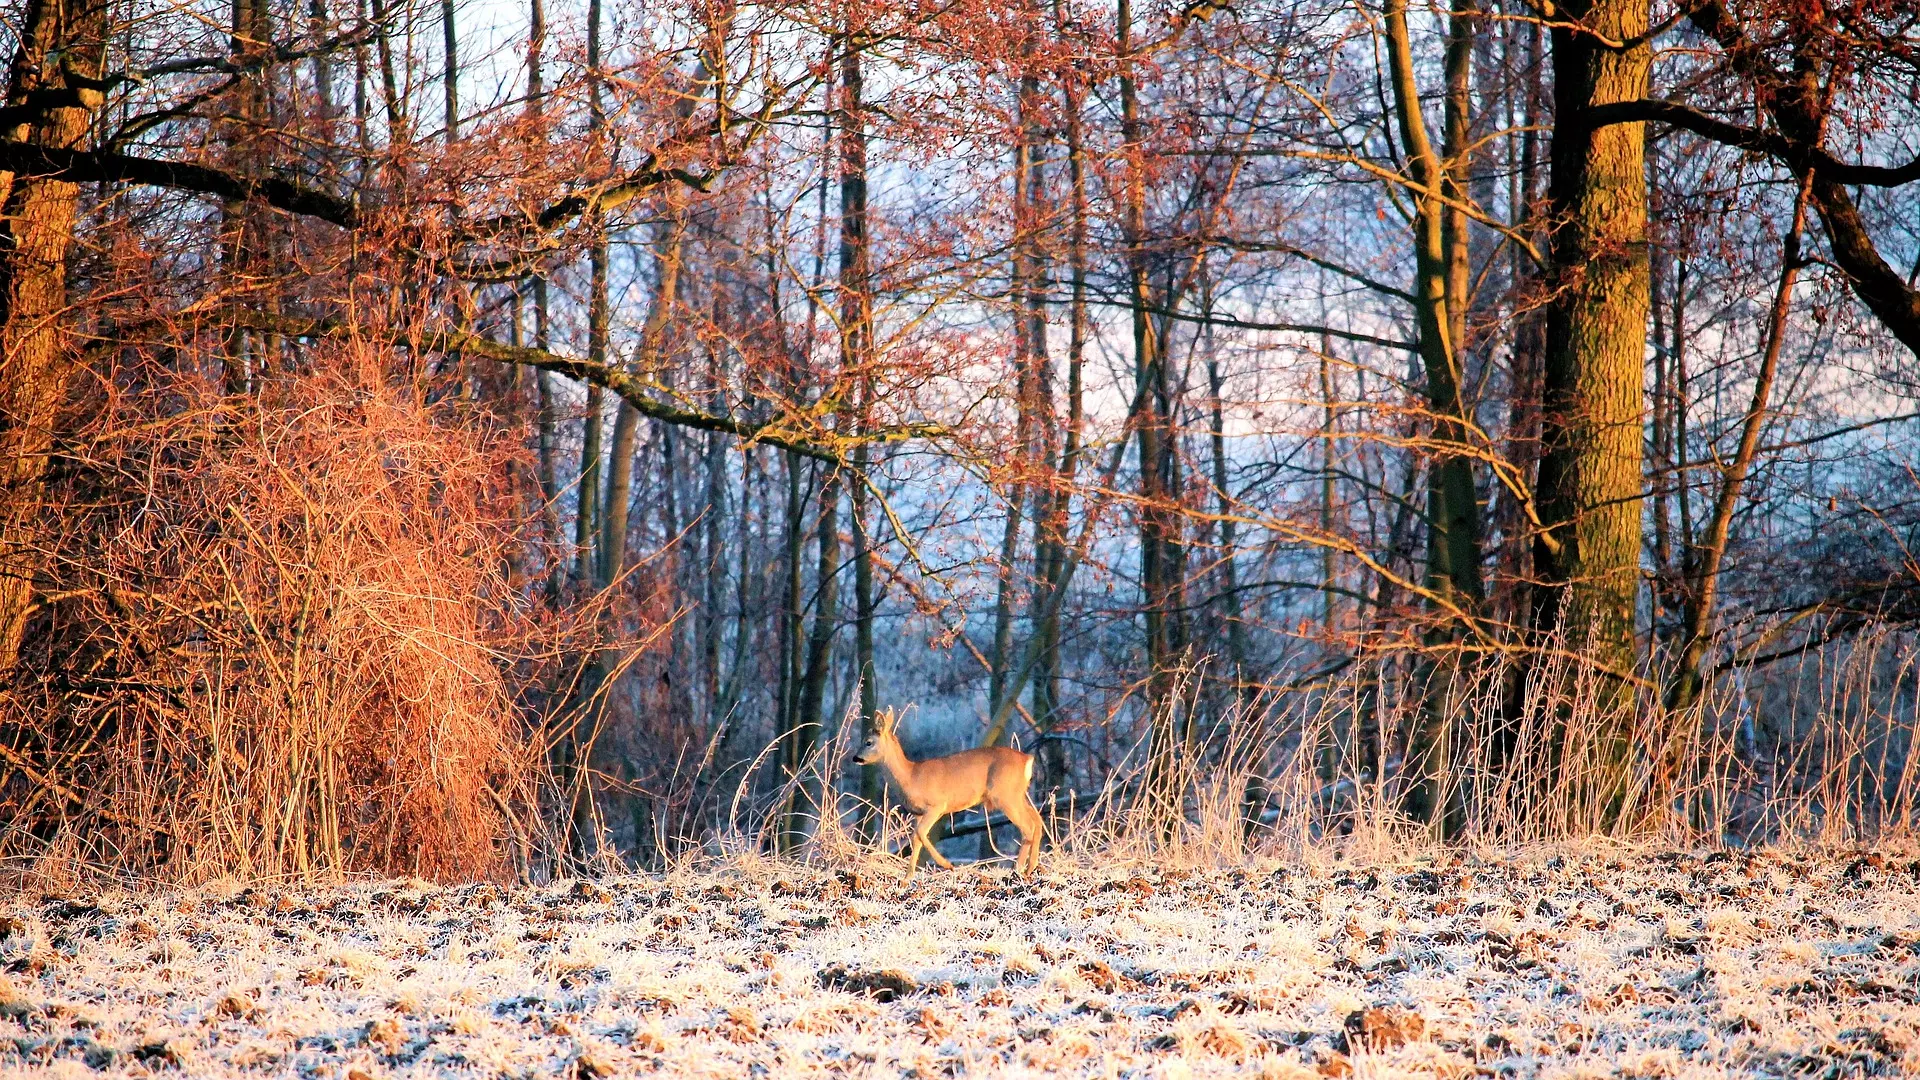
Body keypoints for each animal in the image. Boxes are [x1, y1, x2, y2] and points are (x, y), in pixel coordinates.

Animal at [856, 707, 1044, 876]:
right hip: (1017, 795)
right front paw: (907, 878)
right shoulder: (918, 813)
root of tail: (1027, 759)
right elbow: (916, 838)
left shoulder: (936, 805)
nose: (855, 758)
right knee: (1037, 820)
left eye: (868, 742)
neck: (910, 777)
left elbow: (921, 833)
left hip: (1005, 795)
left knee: (1028, 826)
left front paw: (947, 865)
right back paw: (1030, 867)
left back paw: (1018, 869)